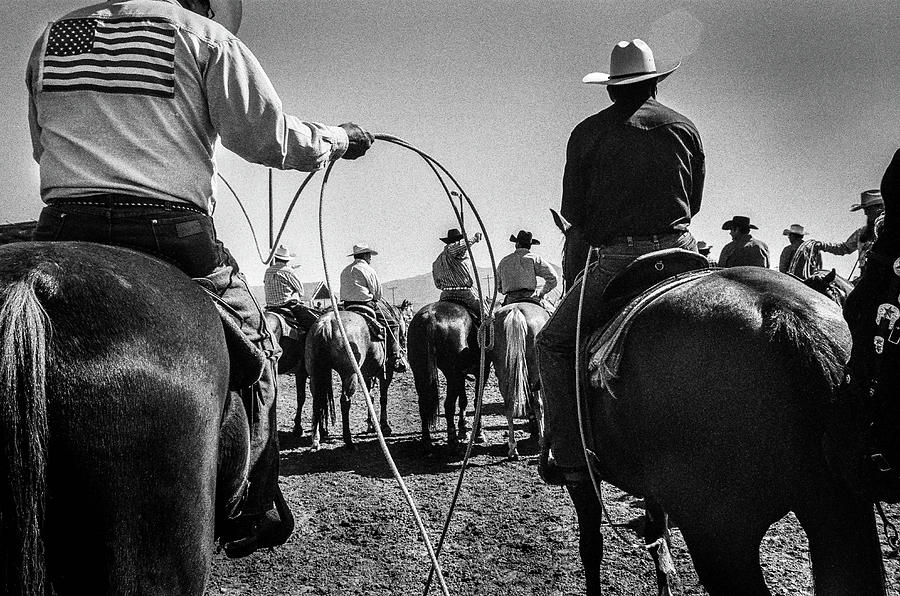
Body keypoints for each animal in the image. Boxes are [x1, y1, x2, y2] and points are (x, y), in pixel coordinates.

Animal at [308, 304, 410, 450]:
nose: (402, 363)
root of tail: (326, 324)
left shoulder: (366, 374)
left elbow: (370, 398)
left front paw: (371, 425)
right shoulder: (386, 373)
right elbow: (383, 398)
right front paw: (384, 426)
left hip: (315, 374)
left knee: (317, 400)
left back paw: (316, 440)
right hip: (350, 374)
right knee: (345, 401)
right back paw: (349, 441)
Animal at [408, 302, 488, 452]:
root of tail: (430, 317)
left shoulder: (461, 375)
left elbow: (463, 400)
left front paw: (463, 428)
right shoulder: (482, 371)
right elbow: (477, 401)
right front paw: (478, 433)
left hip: (420, 372)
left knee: (423, 404)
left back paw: (426, 440)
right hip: (452, 374)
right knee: (448, 405)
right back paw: (452, 440)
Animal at [492, 302, 548, 460]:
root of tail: (516, 310)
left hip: (504, 374)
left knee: (509, 407)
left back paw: (512, 449)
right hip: (535, 374)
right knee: (538, 405)